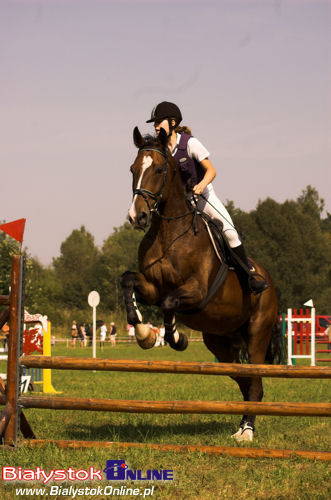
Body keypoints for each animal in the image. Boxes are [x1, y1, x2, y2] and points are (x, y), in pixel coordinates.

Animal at [122, 127, 282, 444]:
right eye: (133, 169)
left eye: (159, 170)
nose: (138, 217)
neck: (169, 232)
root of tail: (269, 280)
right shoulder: (151, 287)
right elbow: (128, 280)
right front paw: (144, 333)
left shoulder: (196, 292)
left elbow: (169, 303)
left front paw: (175, 337)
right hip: (220, 343)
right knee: (245, 381)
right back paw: (241, 426)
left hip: (257, 333)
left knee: (255, 381)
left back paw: (247, 432)